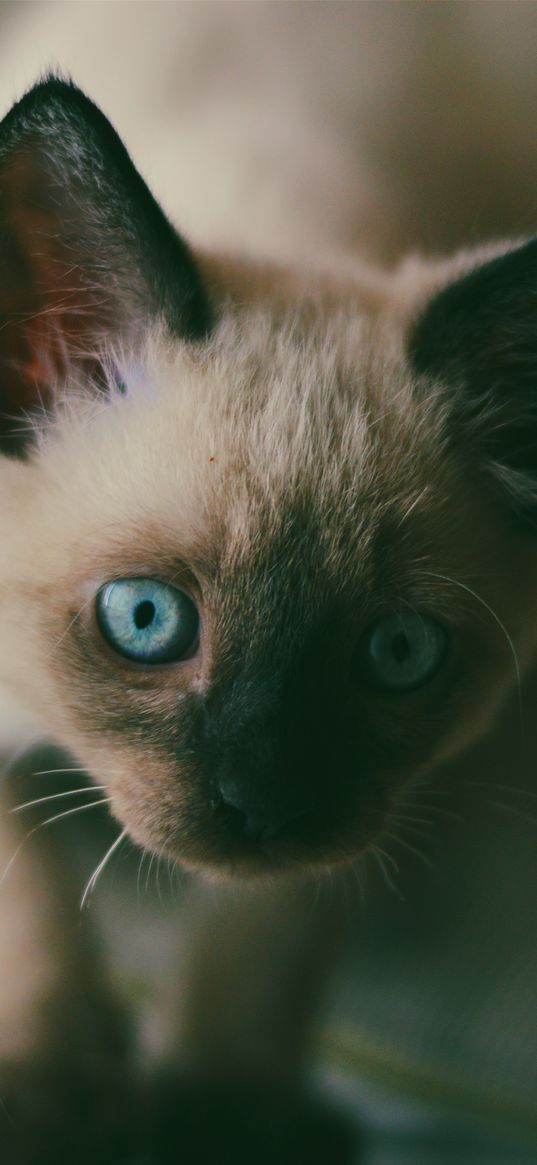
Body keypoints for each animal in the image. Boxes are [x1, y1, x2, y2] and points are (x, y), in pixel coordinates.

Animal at [1, 79, 535, 1155]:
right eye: (146, 619)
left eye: (399, 653)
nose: (265, 804)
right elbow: (25, 890)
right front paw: (55, 1098)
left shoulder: (360, 806)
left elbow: (272, 925)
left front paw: (224, 1110)